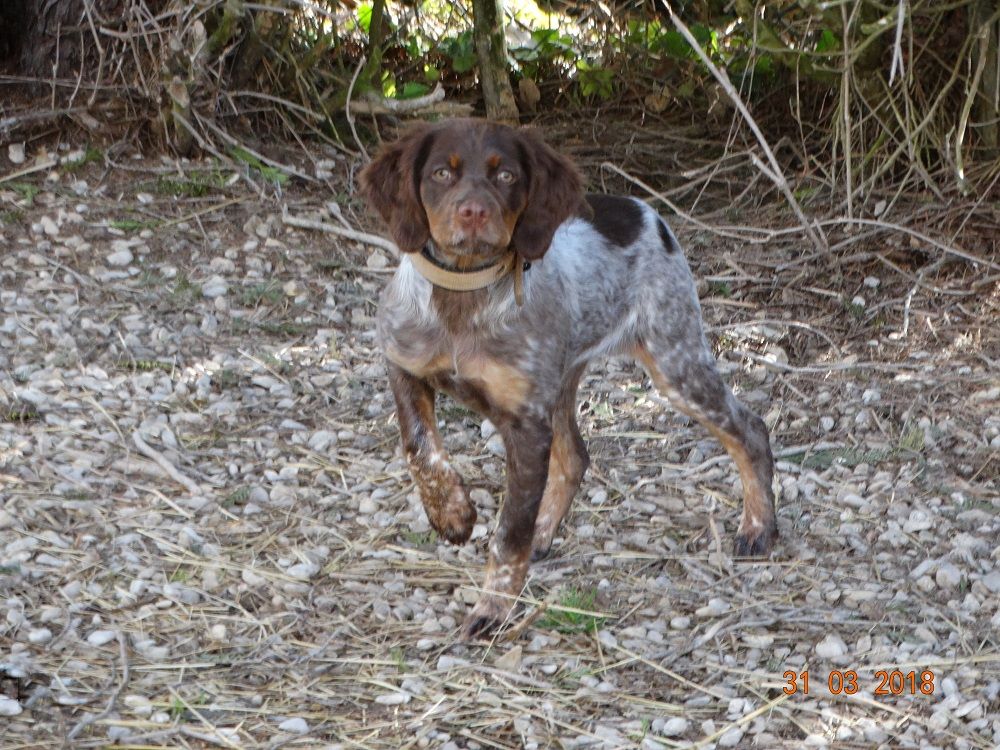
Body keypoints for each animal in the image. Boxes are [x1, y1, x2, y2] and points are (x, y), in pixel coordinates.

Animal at [356, 119, 776, 640]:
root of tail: (641, 210)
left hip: (675, 359)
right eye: (440, 173)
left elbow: (509, 532)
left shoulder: (525, 422)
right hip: (565, 381)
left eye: (507, 176)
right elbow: (420, 448)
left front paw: (494, 607)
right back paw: (543, 531)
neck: (465, 298)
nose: (473, 212)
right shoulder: (403, 363)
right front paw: (452, 514)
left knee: (749, 428)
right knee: (575, 456)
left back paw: (758, 527)